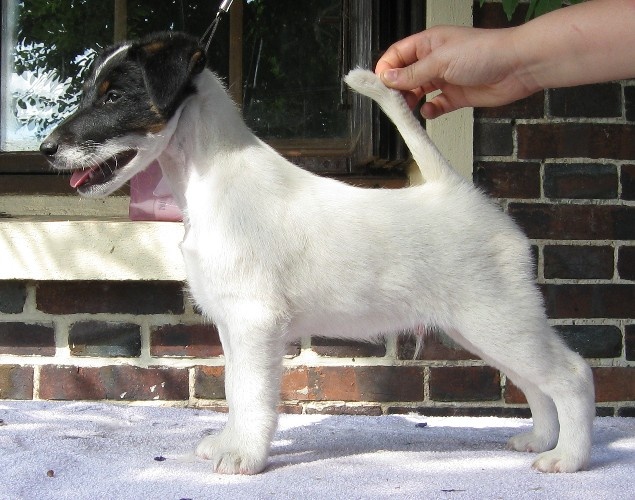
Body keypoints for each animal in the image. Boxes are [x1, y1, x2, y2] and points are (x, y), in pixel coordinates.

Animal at [40, 32, 594, 474]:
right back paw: (541, 440)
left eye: (115, 96)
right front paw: (229, 442)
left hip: (499, 318)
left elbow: (253, 394)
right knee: (535, 383)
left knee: (571, 375)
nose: (46, 150)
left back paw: (569, 458)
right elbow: (235, 389)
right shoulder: (232, 325)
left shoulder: (255, 322)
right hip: (481, 329)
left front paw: (244, 458)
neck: (211, 178)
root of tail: (456, 192)